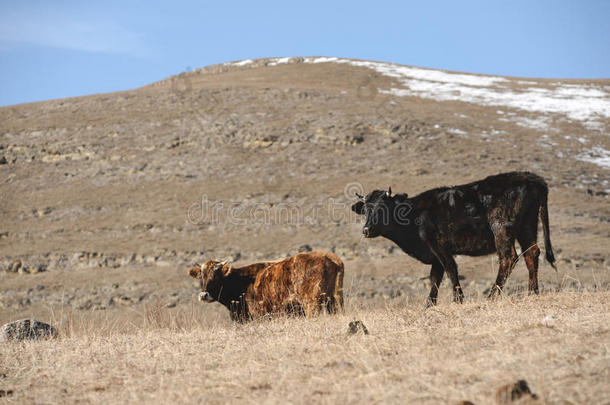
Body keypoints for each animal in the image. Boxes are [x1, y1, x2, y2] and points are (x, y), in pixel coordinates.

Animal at [186, 249, 342, 322]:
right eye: (201, 277)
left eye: (216, 276)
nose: (203, 295)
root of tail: (328, 257)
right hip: (334, 301)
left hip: (311, 303)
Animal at [352, 170, 556, 304]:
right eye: (365, 210)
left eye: (382, 208)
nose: (366, 230)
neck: (414, 215)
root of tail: (532, 177)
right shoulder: (434, 254)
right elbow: (435, 278)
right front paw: (430, 305)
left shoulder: (438, 245)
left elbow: (451, 270)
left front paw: (458, 300)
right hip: (527, 226)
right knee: (531, 253)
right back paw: (533, 292)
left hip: (502, 229)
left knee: (508, 258)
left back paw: (492, 296)